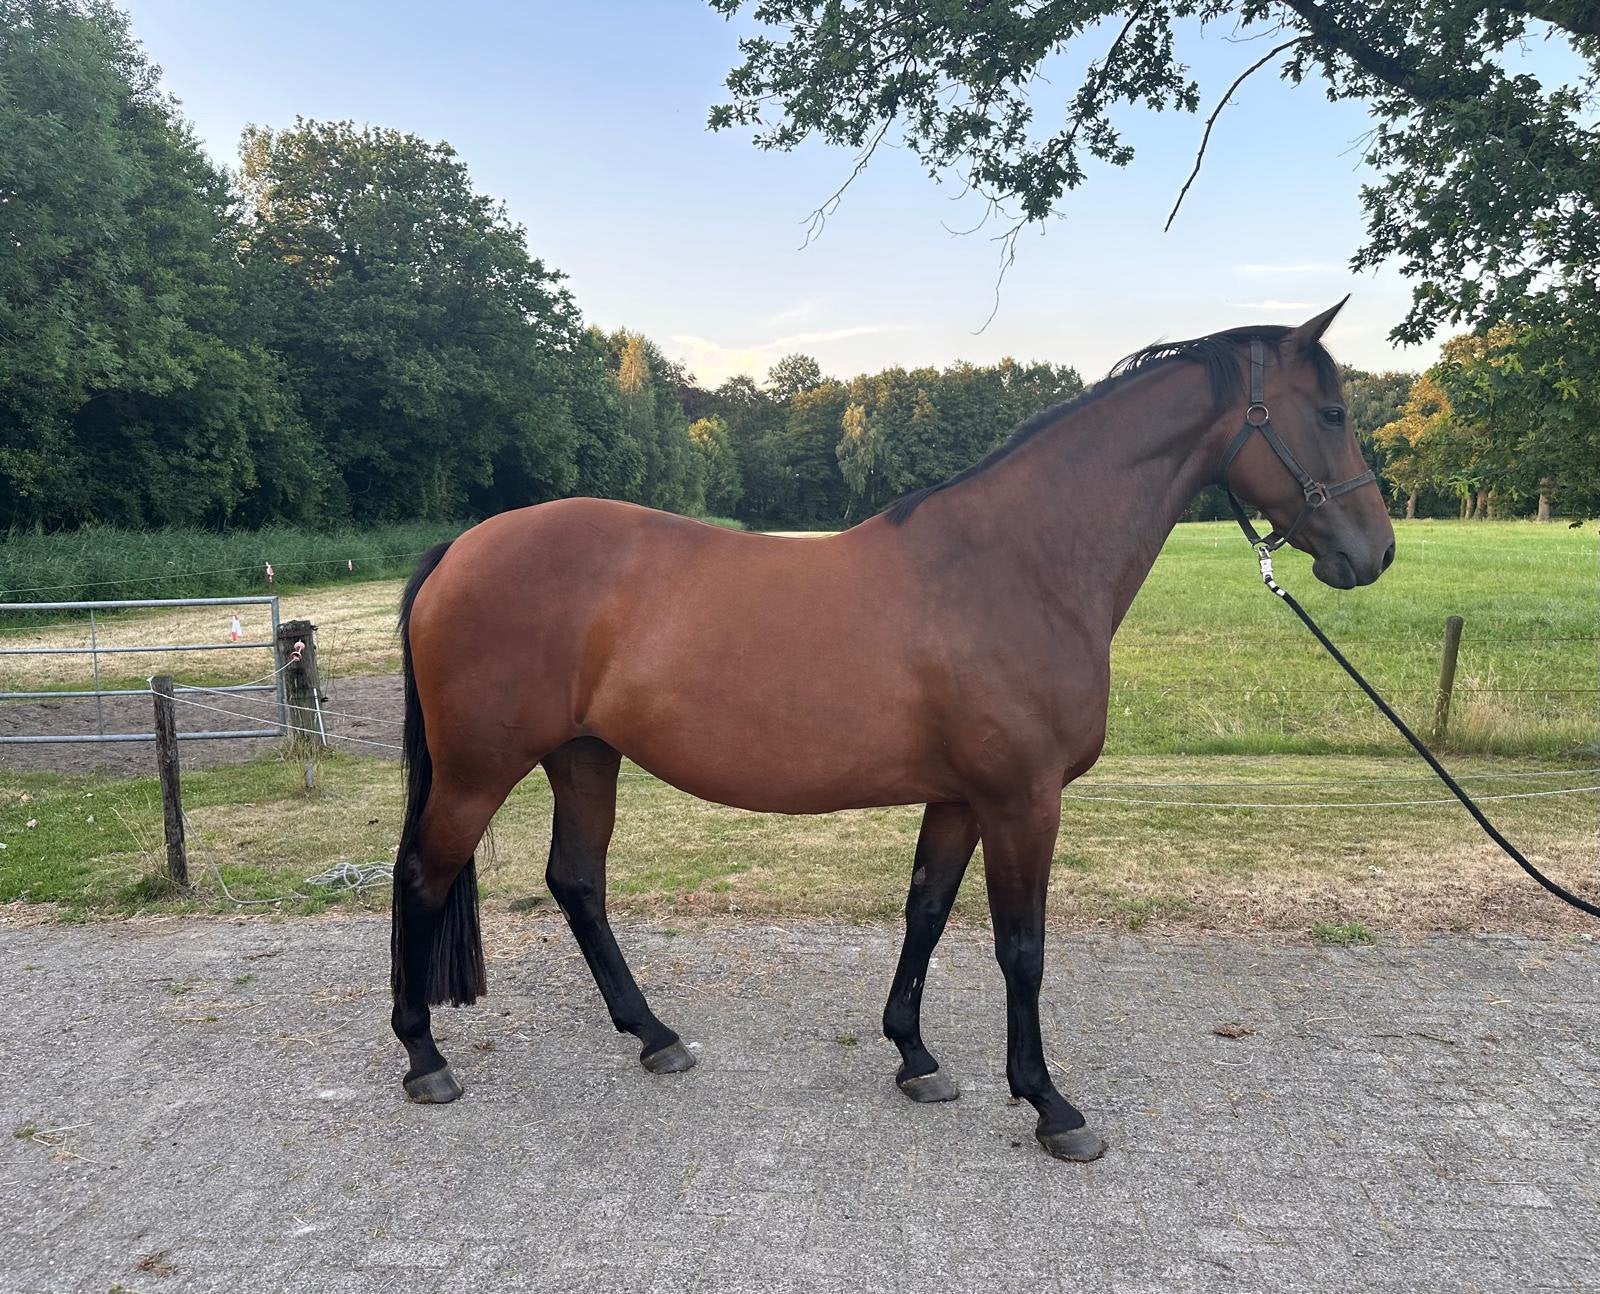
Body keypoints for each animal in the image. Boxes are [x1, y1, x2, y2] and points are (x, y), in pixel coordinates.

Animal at [388, 300, 1395, 1162]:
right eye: (1333, 411)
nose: (1375, 551)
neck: (1020, 564)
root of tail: (460, 548)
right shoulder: (1022, 800)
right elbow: (1021, 947)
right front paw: (1051, 1105)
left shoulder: (960, 797)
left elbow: (926, 913)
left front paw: (915, 1057)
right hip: (480, 769)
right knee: (422, 878)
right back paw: (425, 1059)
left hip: (584, 758)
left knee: (577, 884)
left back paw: (655, 1036)